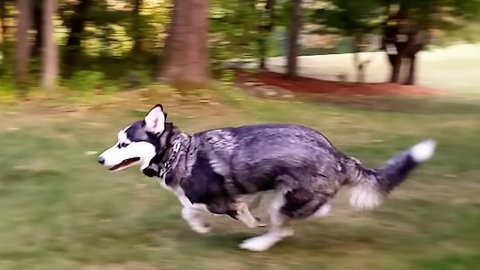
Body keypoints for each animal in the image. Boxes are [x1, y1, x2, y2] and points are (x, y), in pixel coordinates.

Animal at [97, 104, 436, 252]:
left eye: (123, 144)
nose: (100, 159)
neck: (179, 152)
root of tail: (338, 156)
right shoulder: (248, 190)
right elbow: (195, 209)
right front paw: (207, 225)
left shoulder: (218, 200)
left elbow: (192, 208)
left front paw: (221, 225)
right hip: (284, 196)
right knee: (289, 223)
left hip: (286, 200)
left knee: (282, 226)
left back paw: (258, 243)